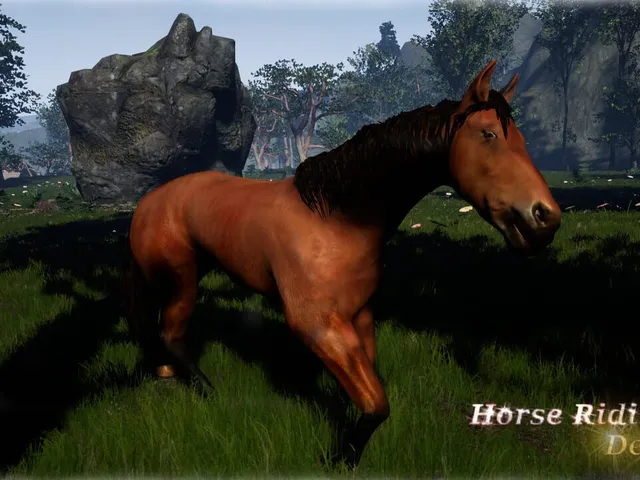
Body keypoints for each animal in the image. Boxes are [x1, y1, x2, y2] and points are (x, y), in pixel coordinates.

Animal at [123, 60, 562, 470]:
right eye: (488, 134)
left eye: (520, 138)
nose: (545, 217)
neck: (334, 220)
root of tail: (149, 201)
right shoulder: (318, 326)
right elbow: (377, 403)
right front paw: (340, 458)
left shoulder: (360, 316)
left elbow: (368, 391)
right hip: (182, 279)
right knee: (171, 334)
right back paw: (206, 390)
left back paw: (167, 373)